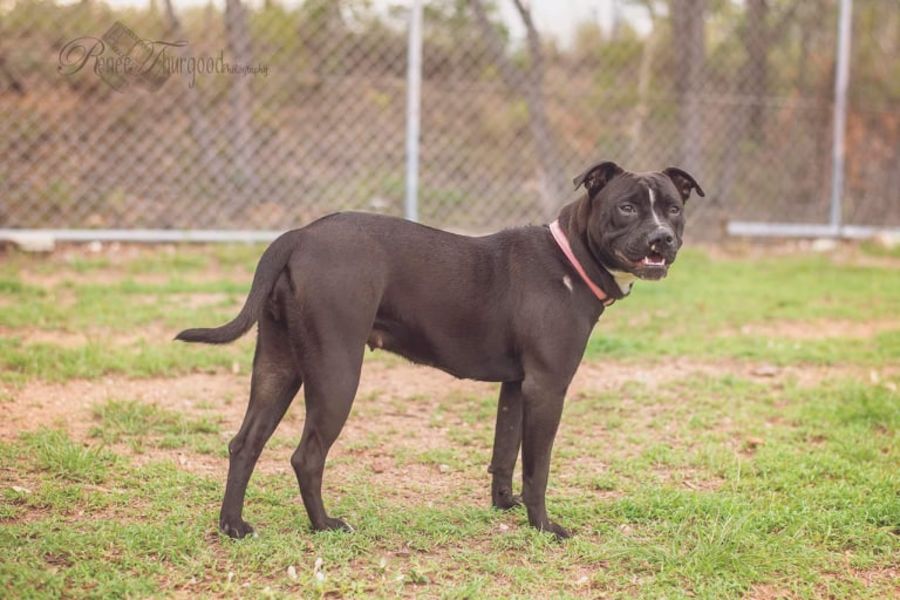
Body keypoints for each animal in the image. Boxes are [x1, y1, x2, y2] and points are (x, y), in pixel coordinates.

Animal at [176, 161, 704, 540]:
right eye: (628, 208)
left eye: (674, 208)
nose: (663, 238)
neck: (571, 258)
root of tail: (298, 236)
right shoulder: (547, 388)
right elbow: (538, 468)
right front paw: (543, 527)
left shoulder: (517, 386)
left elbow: (504, 452)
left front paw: (503, 505)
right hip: (336, 371)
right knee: (307, 456)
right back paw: (324, 526)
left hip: (278, 366)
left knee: (245, 443)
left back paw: (233, 526)